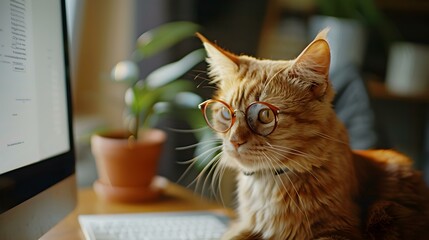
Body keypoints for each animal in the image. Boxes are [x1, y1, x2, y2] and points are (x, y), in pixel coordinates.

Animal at [196, 30, 428, 240]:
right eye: (226, 113)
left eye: (265, 115)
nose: (234, 141)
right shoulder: (244, 227)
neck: (267, 184)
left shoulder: (338, 231)